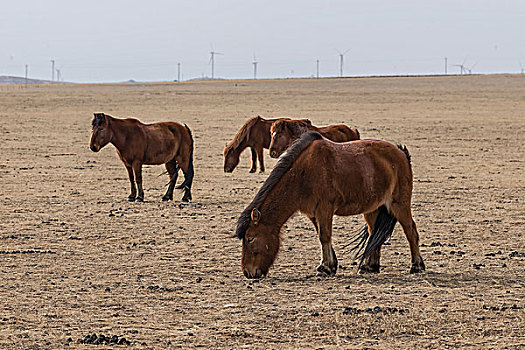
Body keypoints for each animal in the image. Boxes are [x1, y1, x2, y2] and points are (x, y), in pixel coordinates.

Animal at [235, 131, 424, 278]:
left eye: (250, 238)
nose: (248, 272)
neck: (303, 174)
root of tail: (401, 153)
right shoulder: (313, 213)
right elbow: (322, 235)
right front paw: (331, 265)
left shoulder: (325, 209)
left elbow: (324, 236)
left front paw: (325, 268)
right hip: (373, 208)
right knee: (373, 233)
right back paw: (369, 266)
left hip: (399, 204)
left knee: (410, 231)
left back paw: (416, 266)